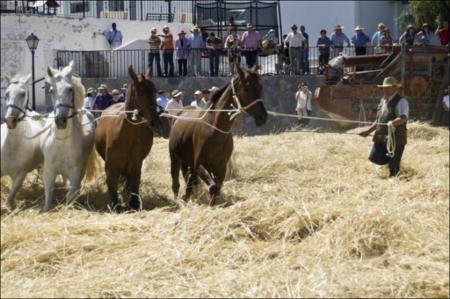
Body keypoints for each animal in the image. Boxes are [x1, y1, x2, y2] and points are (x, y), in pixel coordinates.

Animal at [0, 74, 47, 210]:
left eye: (23, 93)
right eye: (6, 93)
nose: (10, 120)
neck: (12, 146)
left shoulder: (21, 173)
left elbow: (11, 197)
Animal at [41, 61, 99, 211]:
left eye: (70, 89)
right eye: (51, 90)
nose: (60, 121)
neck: (61, 141)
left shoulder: (75, 173)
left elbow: (70, 194)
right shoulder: (49, 171)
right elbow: (48, 196)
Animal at [94, 65, 162, 211]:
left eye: (154, 91)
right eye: (140, 92)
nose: (155, 121)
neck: (127, 135)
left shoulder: (136, 165)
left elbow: (134, 185)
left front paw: (134, 203)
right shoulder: (112, 167)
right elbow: (112, 184)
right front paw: (115, 204)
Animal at [169, 64, 268, 206]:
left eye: (260, 87)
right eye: (247, 88)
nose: (262, 117)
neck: (214, 131)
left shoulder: (220, 167)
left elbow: (217, 187)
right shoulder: (199, 164)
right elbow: (213, 187)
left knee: (190, 179)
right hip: (174, 156)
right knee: (176, 179)